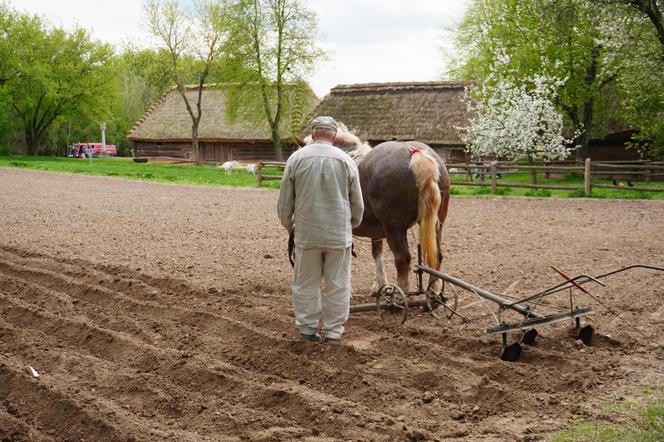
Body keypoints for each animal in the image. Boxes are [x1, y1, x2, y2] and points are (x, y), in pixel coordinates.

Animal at [300, 127, 452, 294]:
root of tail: (416, 154)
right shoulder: (377, 231)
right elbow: (377, 253)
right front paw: (380, 284)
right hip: (437, 223)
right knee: (436, 256)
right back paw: (434, 289)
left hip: (395, 228)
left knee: (402, 258)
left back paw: (400, 293)